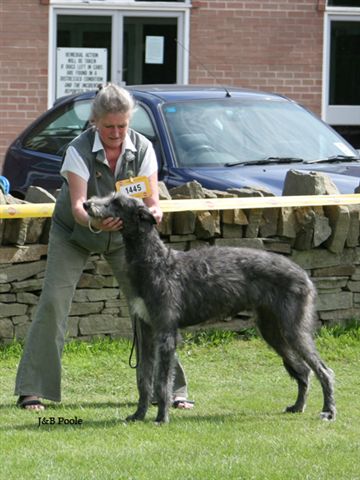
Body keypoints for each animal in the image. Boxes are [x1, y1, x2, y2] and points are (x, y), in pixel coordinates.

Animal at [83, 191, 336, 424]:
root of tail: (304, 273)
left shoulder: (166, 333)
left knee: (323, 370)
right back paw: (298, 406)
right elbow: (145, 378)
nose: (86, 204)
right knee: (303, 370)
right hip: (271, 329)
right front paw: (138, 414)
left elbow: (162, 382)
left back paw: (329, 411)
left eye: (117, 202)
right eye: (110, 197)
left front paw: (162, 417)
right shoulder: (146, 330)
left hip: (293, 328)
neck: (154, 261)